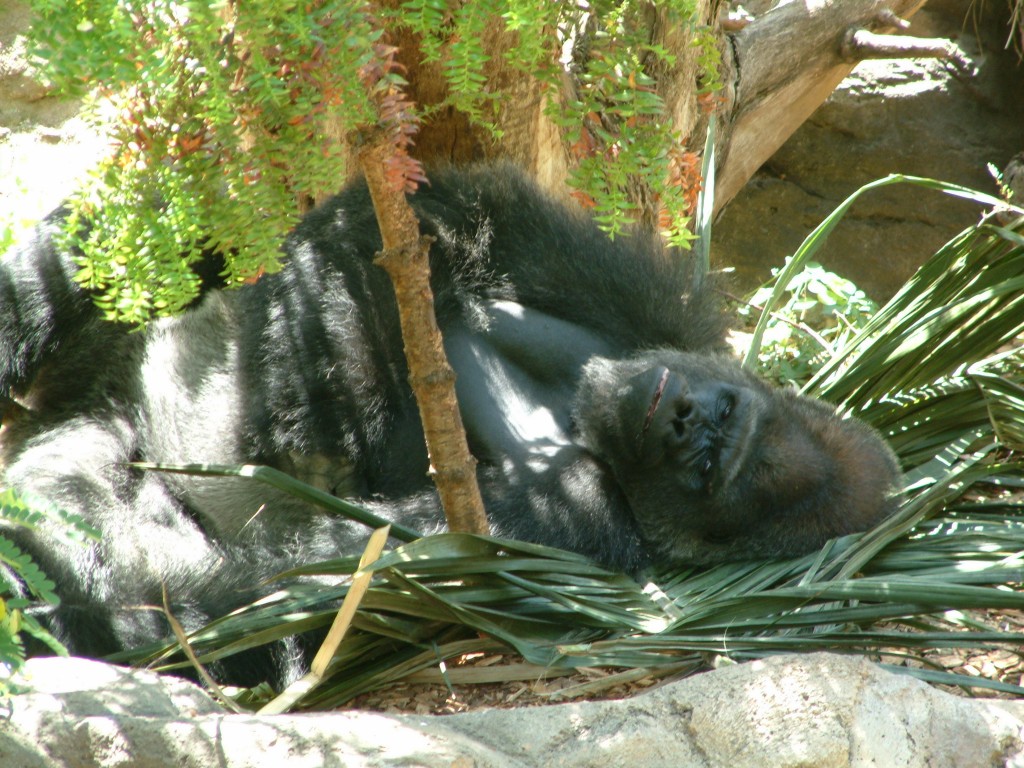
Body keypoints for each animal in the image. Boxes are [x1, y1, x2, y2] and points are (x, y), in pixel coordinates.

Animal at [0, 163, 897, 684]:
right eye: (721, 415)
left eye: (710, 470)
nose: (686, 424)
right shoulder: (642, 303)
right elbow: (409, 220)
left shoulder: (574, 526)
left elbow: (326, 567)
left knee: (130, 566)